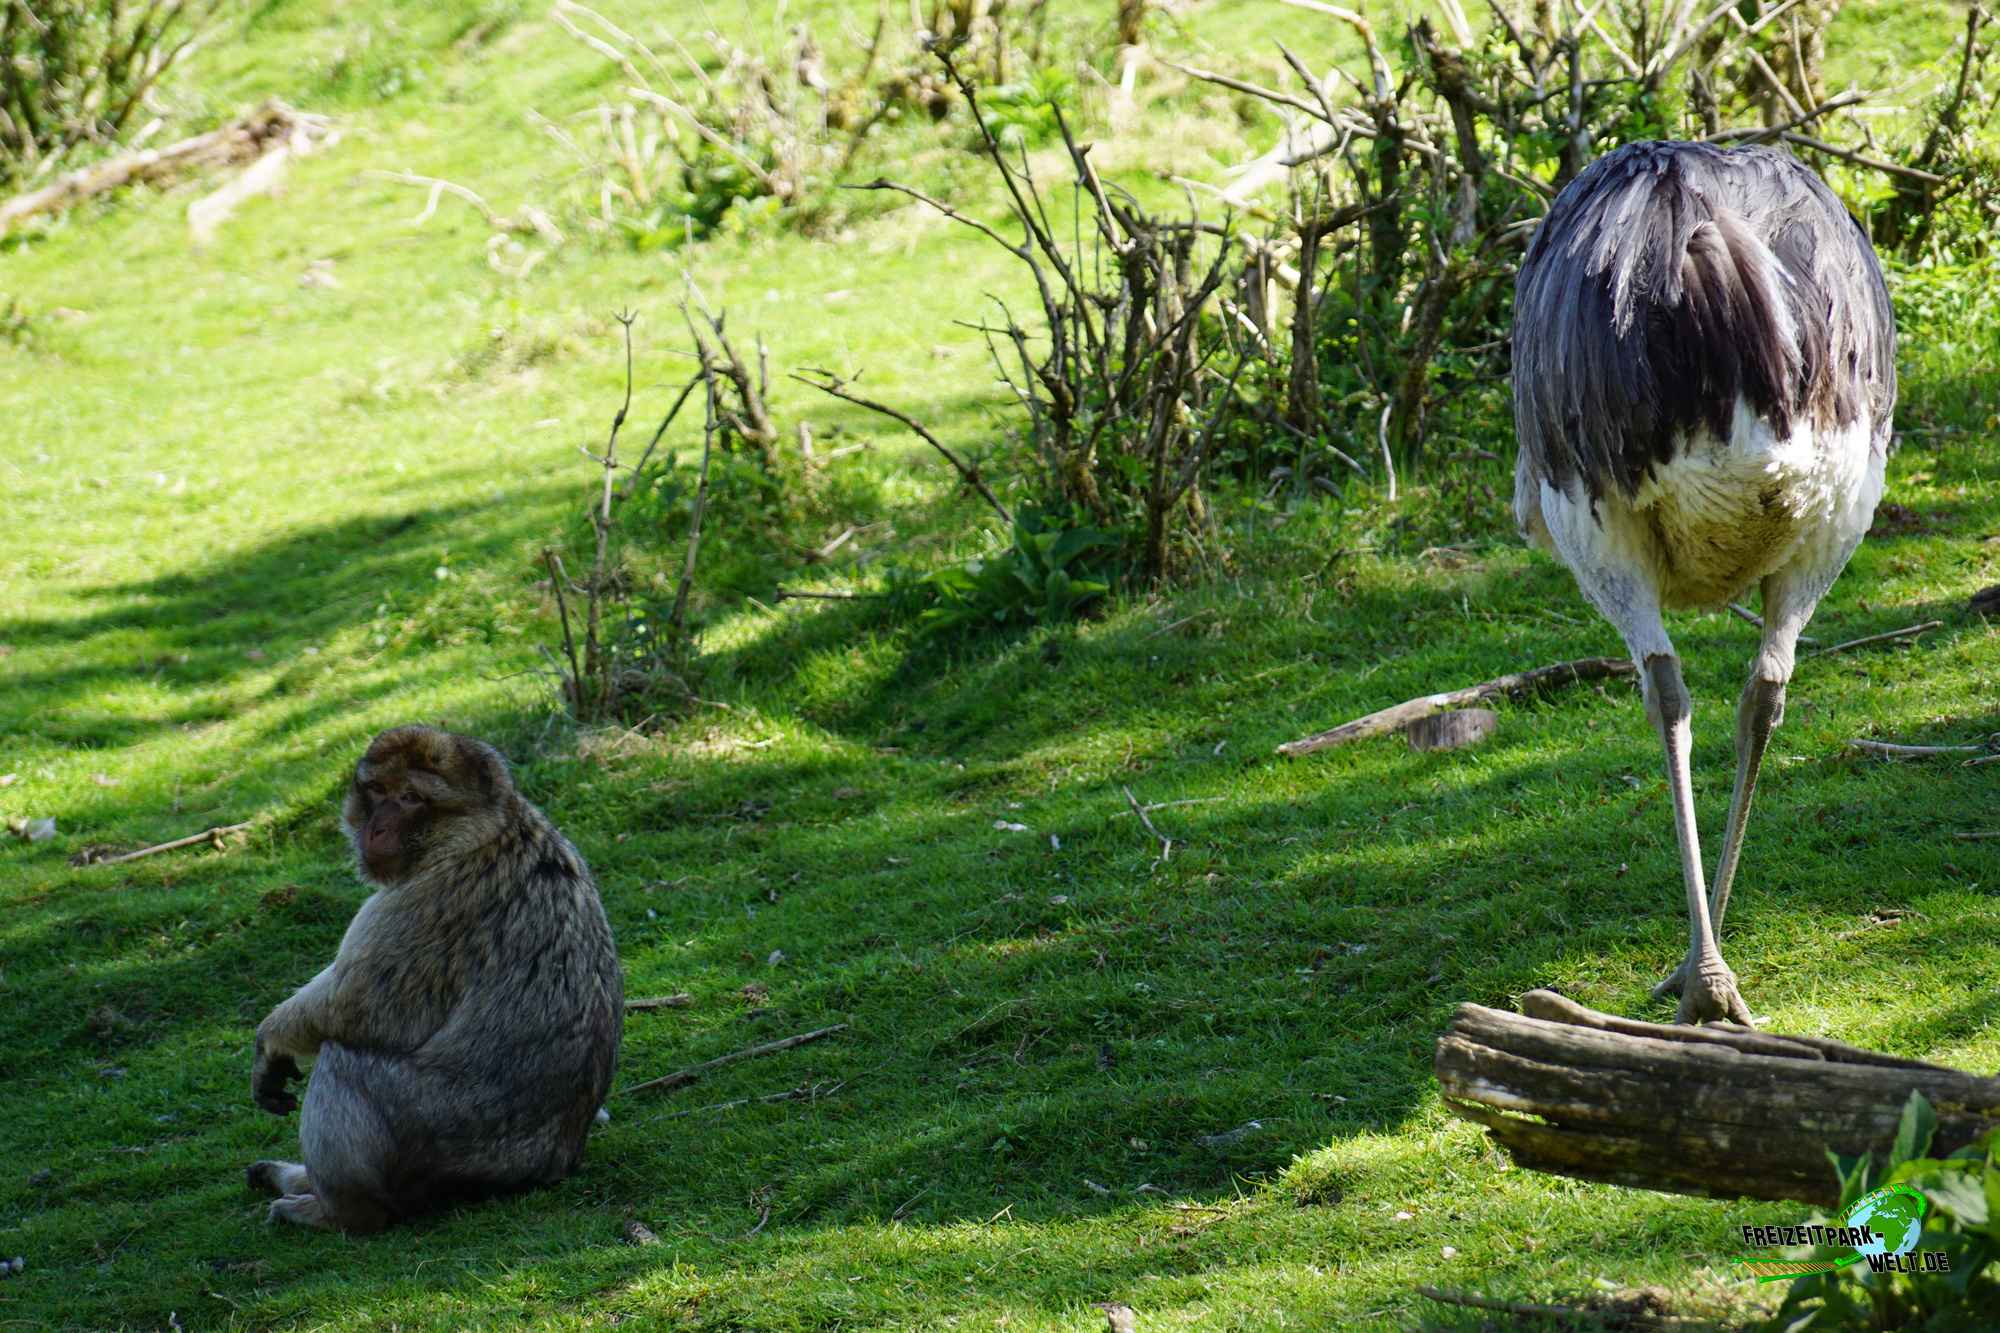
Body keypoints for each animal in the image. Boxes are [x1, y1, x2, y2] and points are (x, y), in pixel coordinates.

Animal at [252, 728, 624, 1224]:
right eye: (378, 791)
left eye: (411, 798)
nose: (377, 828)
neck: (487, 831)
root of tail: (553, 1162)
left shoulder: (427, 899)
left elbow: (357, 1006)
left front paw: (270, 1039)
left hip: (437, 1134)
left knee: (342, 1060)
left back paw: (340, 1213)